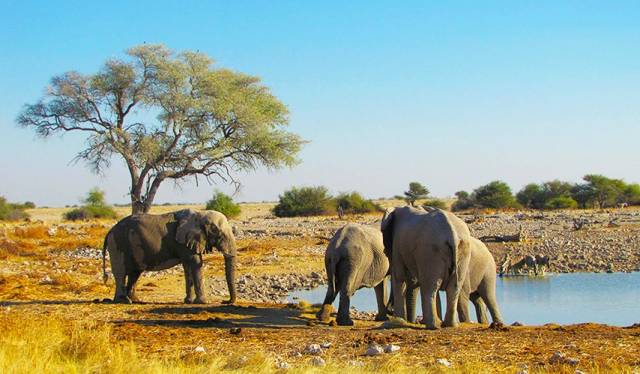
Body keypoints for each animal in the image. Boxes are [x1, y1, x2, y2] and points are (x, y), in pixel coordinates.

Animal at [102, 209, 238, 306]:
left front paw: (188, 301)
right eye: (216, 232)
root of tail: (109, 231)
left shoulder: (186, 243)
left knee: (135, 273)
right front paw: (203, 302)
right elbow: (195, 263)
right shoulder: (184, 241)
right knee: (120, 272)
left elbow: (187, 266)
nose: (225, 302)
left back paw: (135, 300)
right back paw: (124, 301)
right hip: (117, 244)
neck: (200, 214)